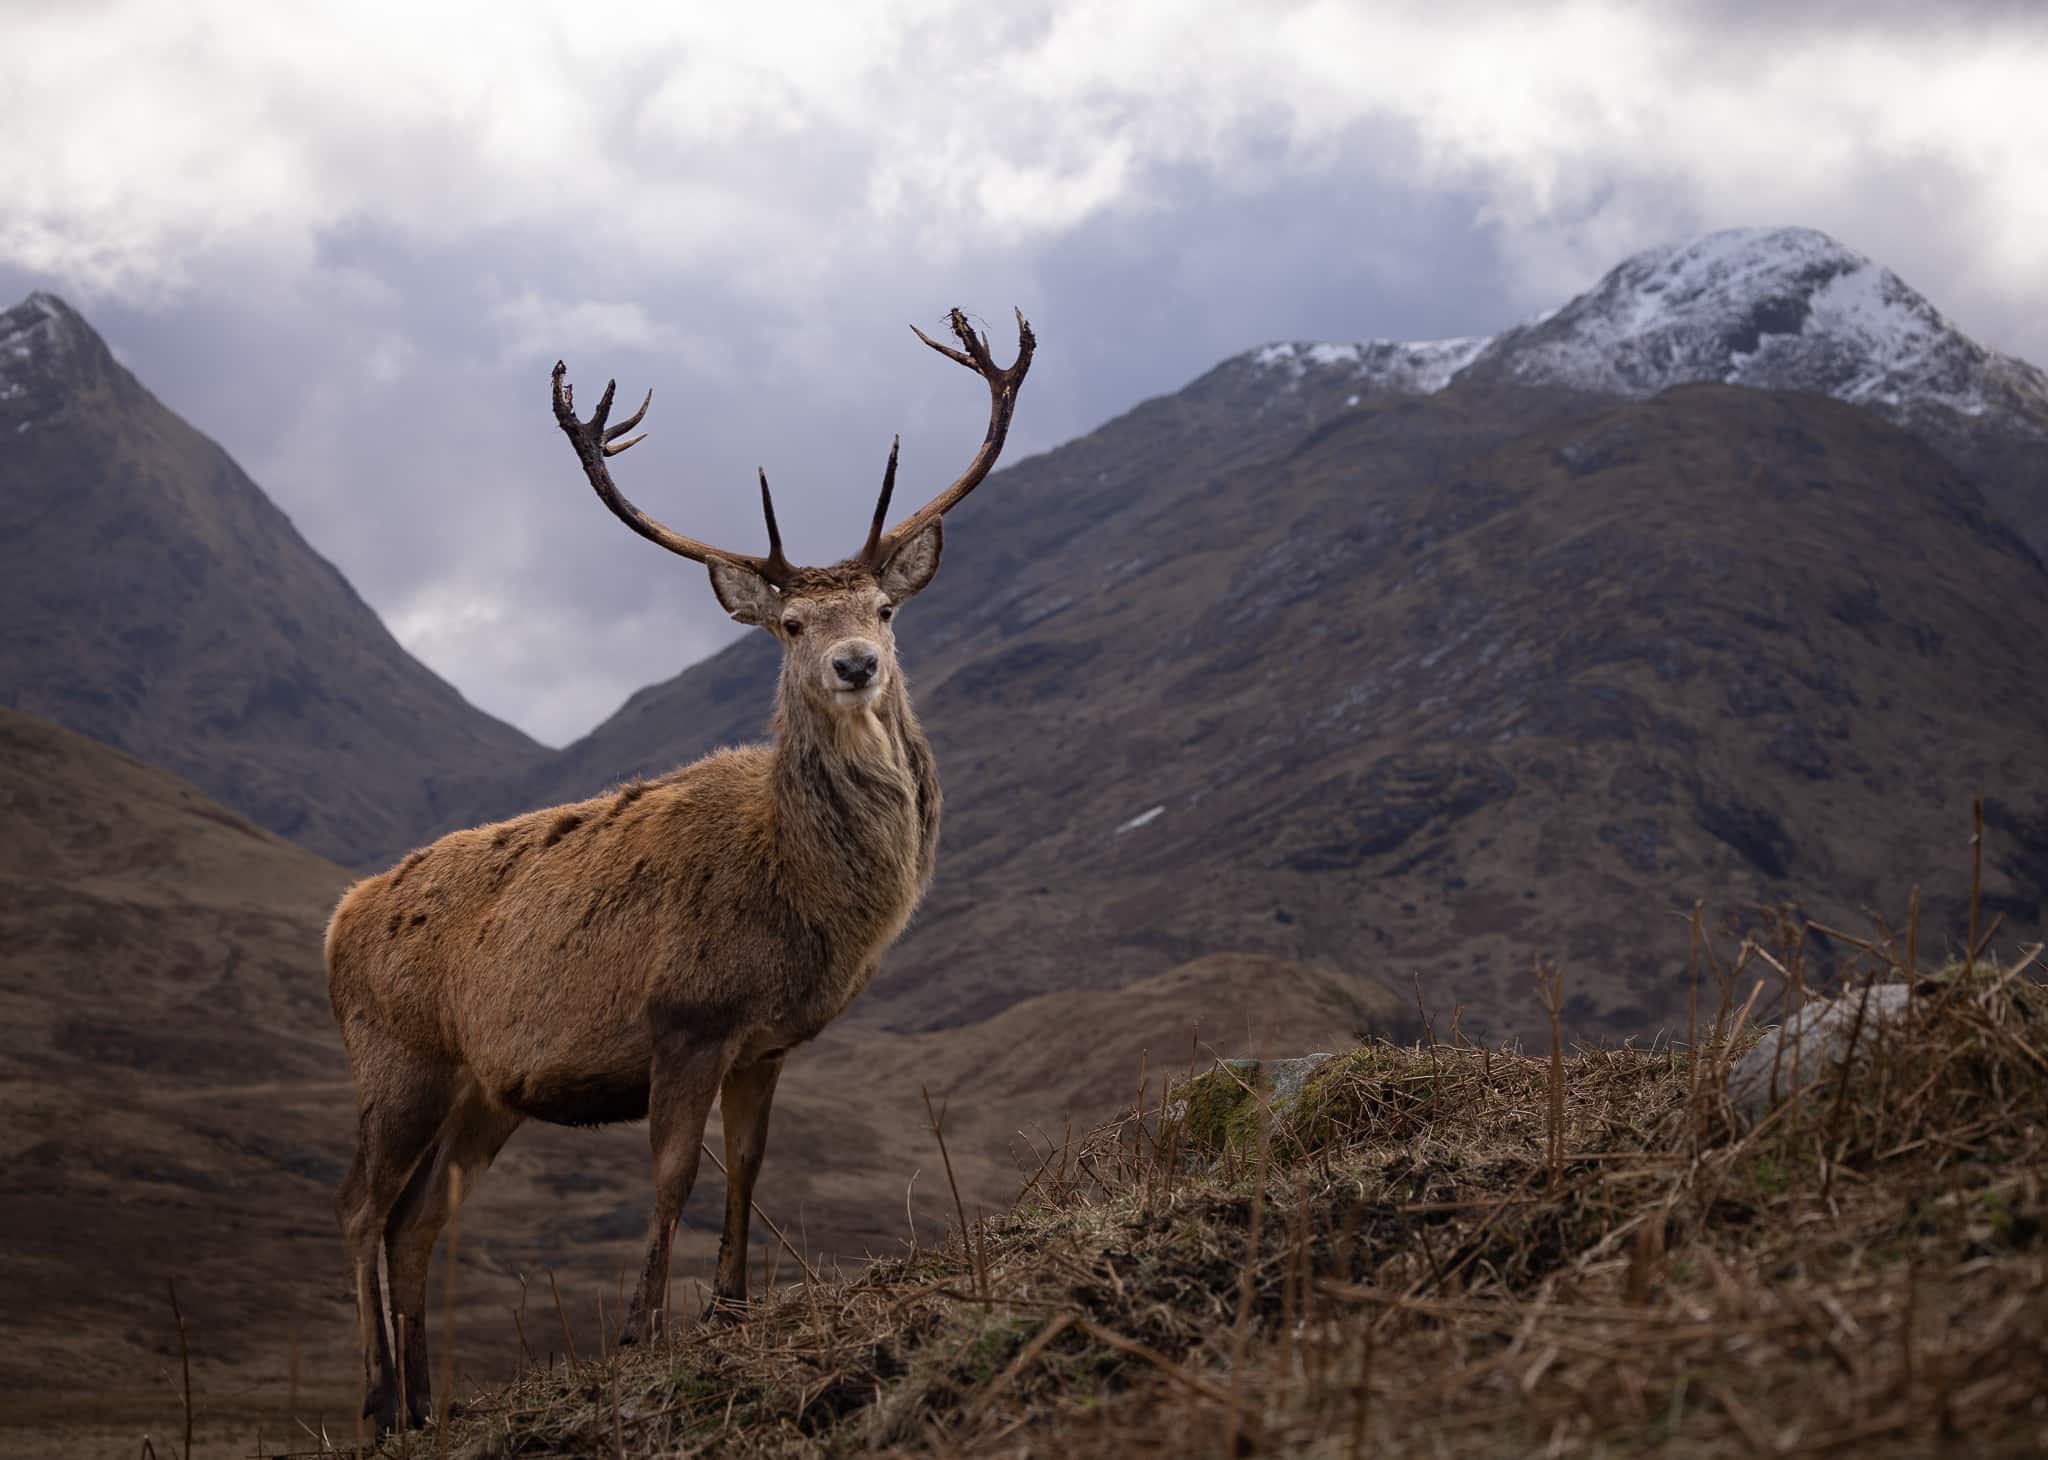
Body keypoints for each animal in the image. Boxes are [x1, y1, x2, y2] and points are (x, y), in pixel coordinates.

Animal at [324, 307, 1034, 1433]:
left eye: (883, 609)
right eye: (792, 623)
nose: (855, 665)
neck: (800, 899)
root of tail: (338, 920)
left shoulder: (765, 1041)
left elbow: (745, 1166)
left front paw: (731, 1310)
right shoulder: (684, 1019)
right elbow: (667, 1177)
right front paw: (641, 1332)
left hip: (484, 1087)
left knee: (417, 1217)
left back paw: (428, 1398)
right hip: (397, 1055)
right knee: (359, 1207)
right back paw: (378, 1398)